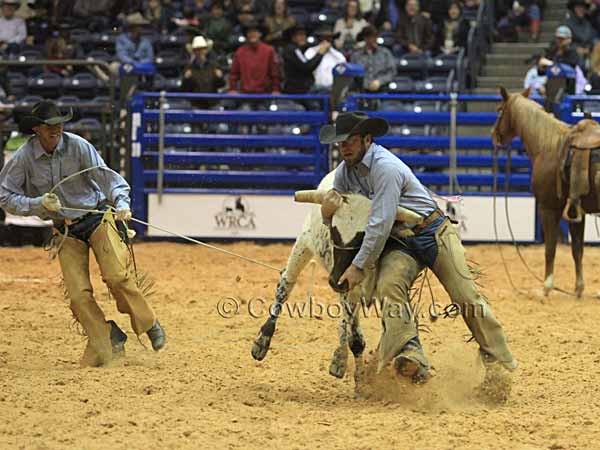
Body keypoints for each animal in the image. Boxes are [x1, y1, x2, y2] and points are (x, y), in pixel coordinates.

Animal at [492, 86, 600, 298]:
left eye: (499, 110)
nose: (494, 135)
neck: (549, 146)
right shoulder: (577, 212)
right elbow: (577, 250)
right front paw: (578, 289)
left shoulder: (548, 208)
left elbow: (550, 249)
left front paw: (547, 286)